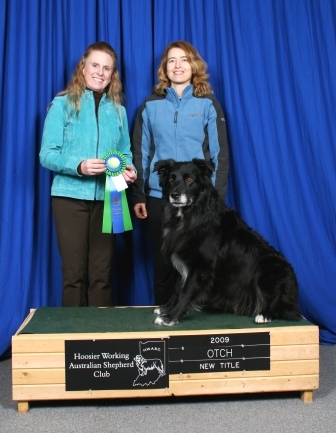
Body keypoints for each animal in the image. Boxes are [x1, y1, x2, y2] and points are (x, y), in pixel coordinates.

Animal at [154, 159, 300, 324]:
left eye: (190, 179)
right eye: (171, 180)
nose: (174, 195)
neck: (191, 214)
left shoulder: (201, 266)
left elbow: (186, 292)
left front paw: (171, 317)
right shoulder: (184, 259)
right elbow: (178, 288)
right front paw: (166, 308)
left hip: (270, 267)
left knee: (282, 306)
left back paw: (265, 314)